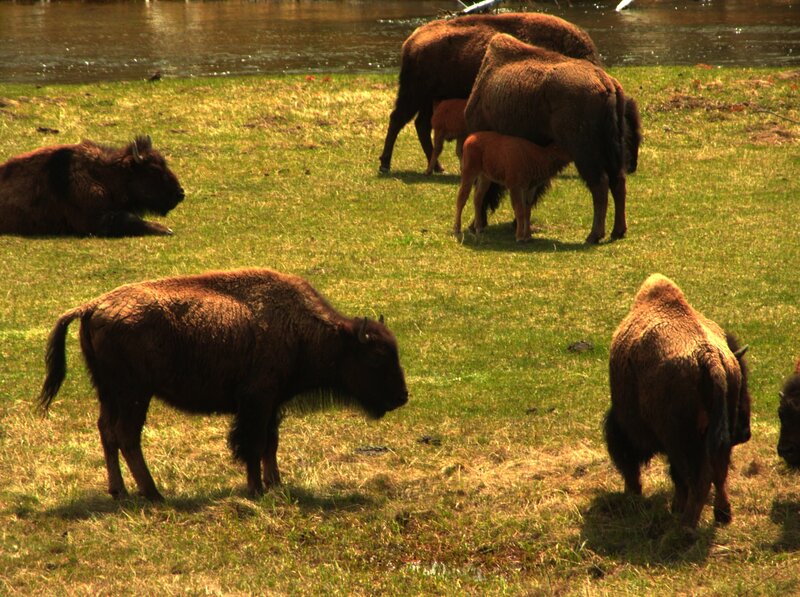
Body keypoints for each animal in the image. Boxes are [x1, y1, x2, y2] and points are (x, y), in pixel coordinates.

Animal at [38, 268, 409, 500]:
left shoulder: (271, 405)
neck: (302, 329)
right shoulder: (257, 402)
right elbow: (253, 445)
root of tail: (92, 306)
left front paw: (276, 485)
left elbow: (270, 444)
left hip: (109, 392)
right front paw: (257, 490)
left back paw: (120, 492)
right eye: (377, 356)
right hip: (134, 394)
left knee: (107, 431)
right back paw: (154, 494)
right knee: (126, 436)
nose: (402, 396)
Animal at [378, 12, 600, 174]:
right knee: (398, 119)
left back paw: (437, 168)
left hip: (430, 98)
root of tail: (412, 40)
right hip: (414, 93)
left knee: (420, 124)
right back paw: (385, 165)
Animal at [465, 34, 642, 243]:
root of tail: (606, 83)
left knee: (600, 184)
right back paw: (617, 231)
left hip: (584, 153)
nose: (477, 225)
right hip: (613, 148)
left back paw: (593, 235)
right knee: (617, 181)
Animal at [606, 274, 751, 529]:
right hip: (713, 437)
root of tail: (708, 356)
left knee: (695, 478)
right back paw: (721, 515)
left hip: (680, 440)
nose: (745, 433)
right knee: (717, 471)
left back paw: (686, 525)